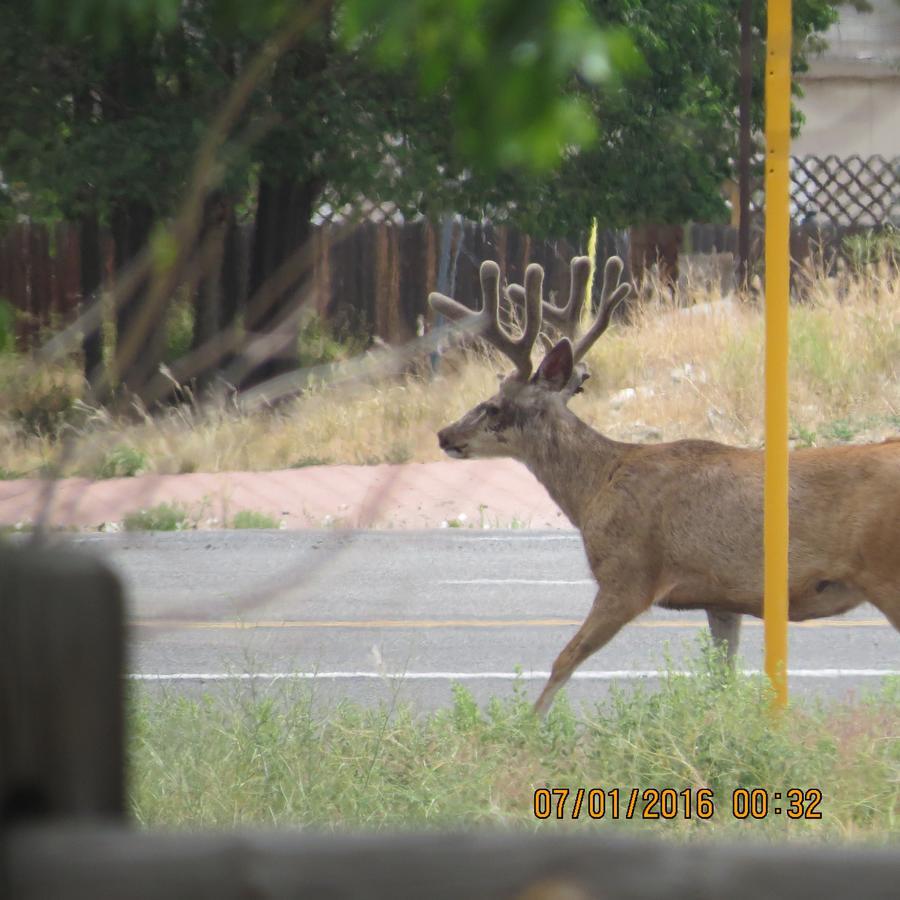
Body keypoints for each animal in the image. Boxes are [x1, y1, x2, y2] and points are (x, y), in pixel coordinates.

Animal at [428, 255, 900, 716]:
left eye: (493, 406)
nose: (444, 434)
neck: (596, 487)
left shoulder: (628, 575)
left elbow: (564, 660)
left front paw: (529, 726)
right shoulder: (721, 596)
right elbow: (721, 679)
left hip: (885, 571)